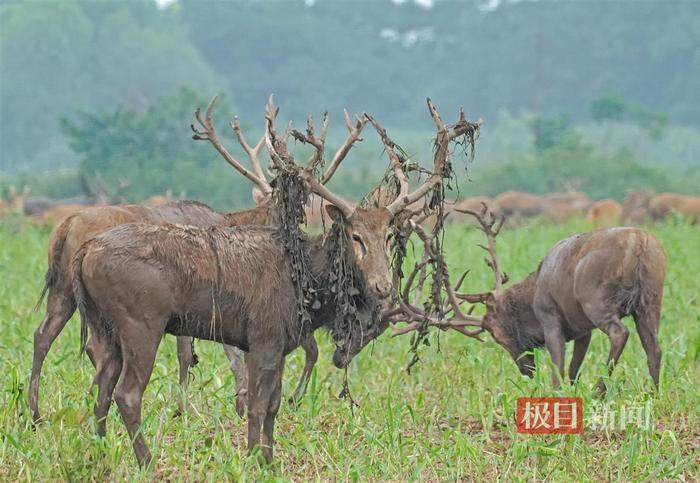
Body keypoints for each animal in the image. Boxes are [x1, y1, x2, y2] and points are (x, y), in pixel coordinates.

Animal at [67, 97, 482, 466]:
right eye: (355, 236)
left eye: (388, 236)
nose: (383, 286)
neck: (310, 285)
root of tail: (83, 253)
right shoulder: (264, 336)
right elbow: (257, 404)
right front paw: (254, 458)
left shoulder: (280, 343)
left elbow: (274, 406)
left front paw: (268, 460)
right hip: (140, 321)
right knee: (127, 393)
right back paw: (146, 461)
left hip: (105, 326)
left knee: (102, 387)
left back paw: (99, 454)